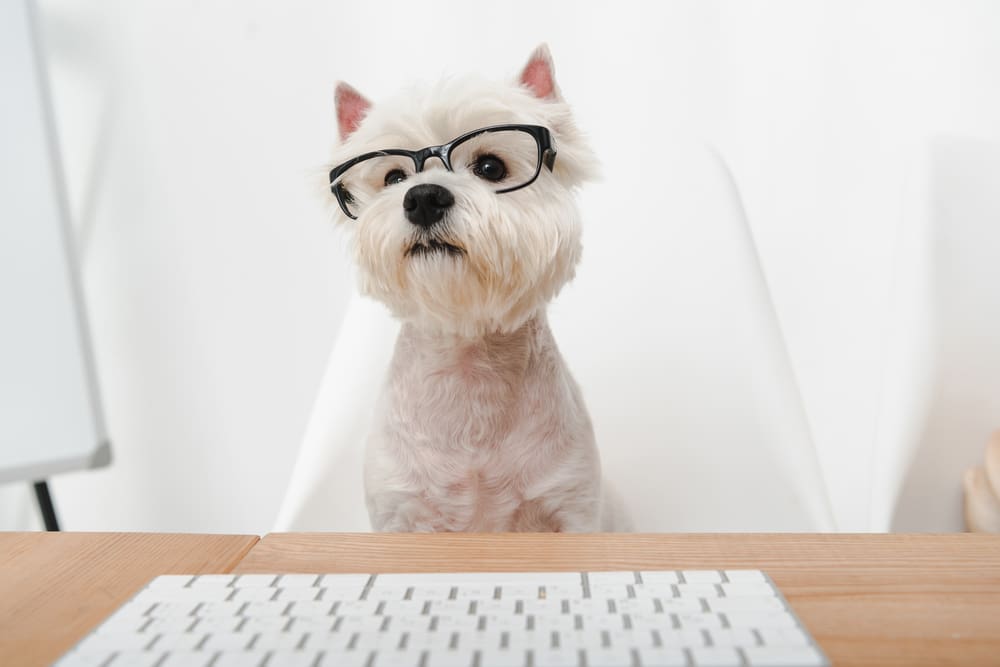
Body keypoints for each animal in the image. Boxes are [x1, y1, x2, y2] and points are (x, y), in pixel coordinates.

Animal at [328, 45, 624, 532]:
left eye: (490, 167)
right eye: (393, 178)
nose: (423, 198)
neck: (467, 364)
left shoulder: (572, 506)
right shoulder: (397, 514)